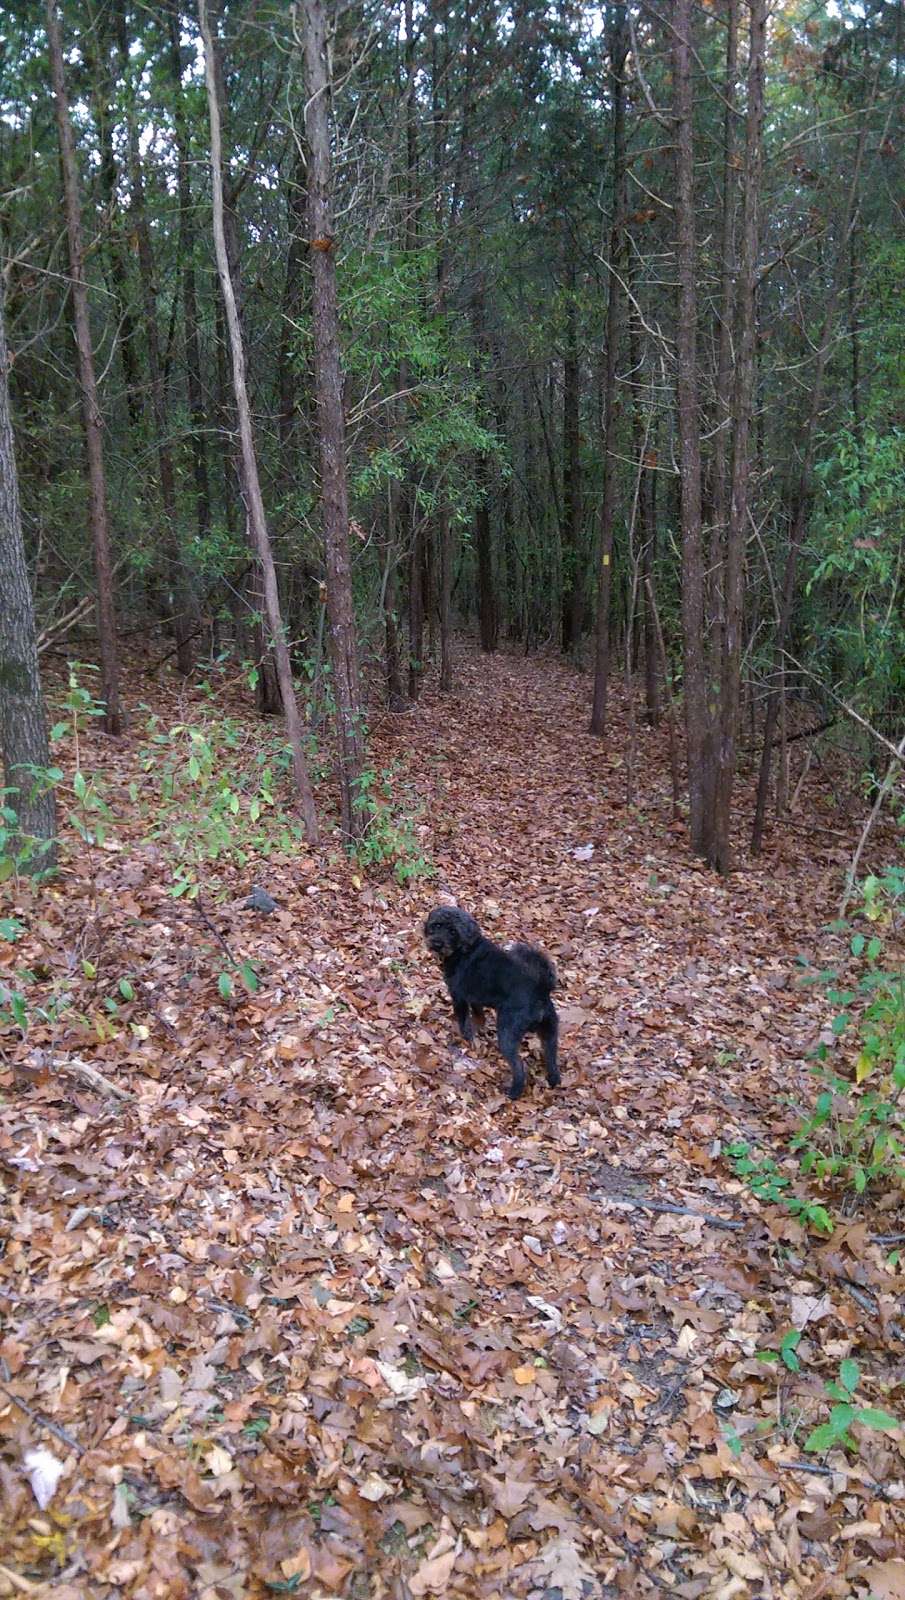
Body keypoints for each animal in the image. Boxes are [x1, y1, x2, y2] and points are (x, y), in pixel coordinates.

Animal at [425, 908, 559, 1094]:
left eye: (453, 931)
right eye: (437, 925)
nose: (437, 944)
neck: (465, 949)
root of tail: (541, 990)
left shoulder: (458, 996)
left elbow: (463, 1021)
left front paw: (464, 1037)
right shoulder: (475, 998)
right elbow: (479, 1017)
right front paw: (477, 1031)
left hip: (508, 1033)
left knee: (519, 1066)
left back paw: (513, 1092)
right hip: (550, 1034)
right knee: (552, 1061)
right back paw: (553, 1081)